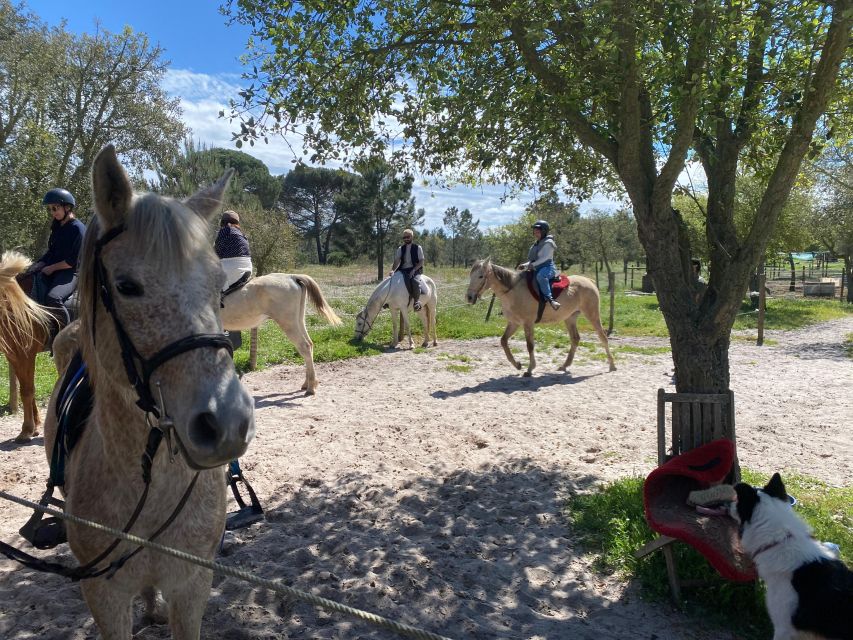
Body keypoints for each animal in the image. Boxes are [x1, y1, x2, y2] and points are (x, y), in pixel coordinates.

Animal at [0, 252, 53, 442]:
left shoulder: (26, 354)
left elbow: (27, 391)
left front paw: (26, 430)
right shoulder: (14, 355)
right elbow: (29, 388)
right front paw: (35, 426)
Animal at [466, 260, 612, 378]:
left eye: (481, 276)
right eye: (471, 275)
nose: (469, 297)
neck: (513, 291)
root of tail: (589, 281)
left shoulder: (528, 323)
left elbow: (530, 345)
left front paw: (530, 369)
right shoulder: (514, 323)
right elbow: (503, 341)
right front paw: (517, 365)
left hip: (592, 314)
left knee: (603, 337)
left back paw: (612, 365)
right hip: (570, 318)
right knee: (575, 339)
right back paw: (565, 365)